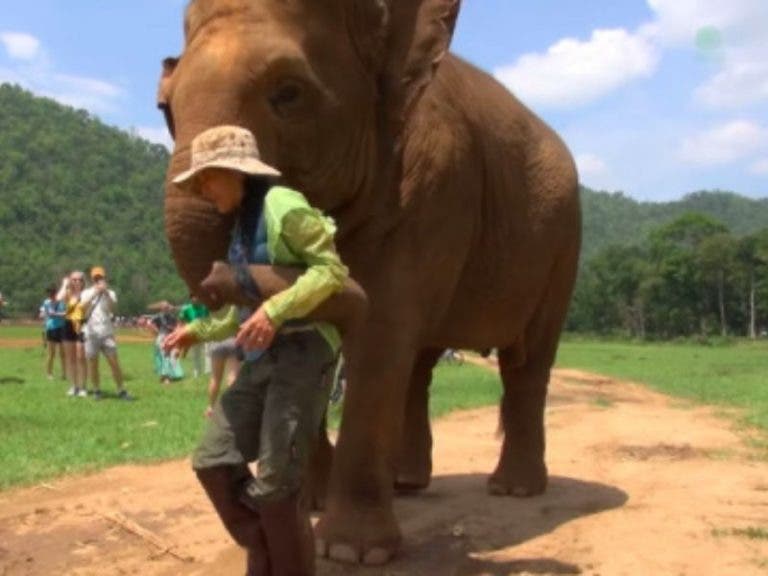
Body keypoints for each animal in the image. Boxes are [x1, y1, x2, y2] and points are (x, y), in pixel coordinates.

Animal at [159, 0, 584, 568]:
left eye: (288, 93)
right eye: (165, 109)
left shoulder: (436, 185)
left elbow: (379, 331)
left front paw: (350, 551)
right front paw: (309, 508)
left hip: (562, 246)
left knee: (526, 361)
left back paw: (514, 490)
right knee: (421, 363)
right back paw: (406, 484)